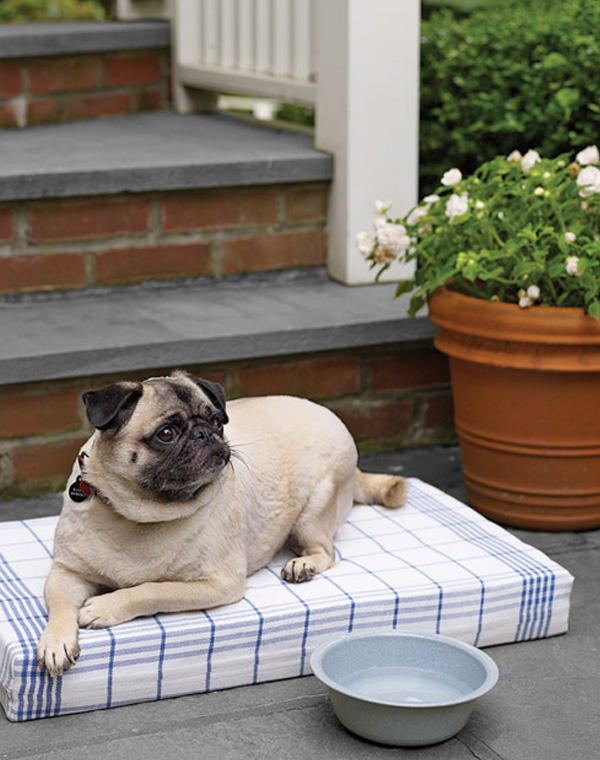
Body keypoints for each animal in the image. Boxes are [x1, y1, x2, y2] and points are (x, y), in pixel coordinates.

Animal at [37, 372, 408, 672]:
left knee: (326, 551)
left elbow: (151, 590)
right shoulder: (67, 573)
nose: (205, 434)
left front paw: (106, 605)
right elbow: (59, 605)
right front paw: (56, 642)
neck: (138, 515)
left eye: (217, 422)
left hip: (315, 509)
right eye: (167, 433)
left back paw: (303, 564)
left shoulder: (219, 582)